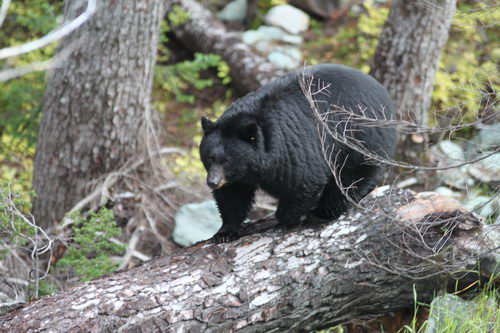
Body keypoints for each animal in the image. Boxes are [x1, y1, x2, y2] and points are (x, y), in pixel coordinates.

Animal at [199, 64, 398, 241]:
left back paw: (323, 211)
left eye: (226, 160)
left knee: (352, 176)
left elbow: (303, 183)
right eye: (210, 158)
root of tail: (385, 95)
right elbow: (232, 196)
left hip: (359, 139)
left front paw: (287, 217)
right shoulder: (237, 177)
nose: (212, 182)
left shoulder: (292, 150)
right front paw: (225, 232)